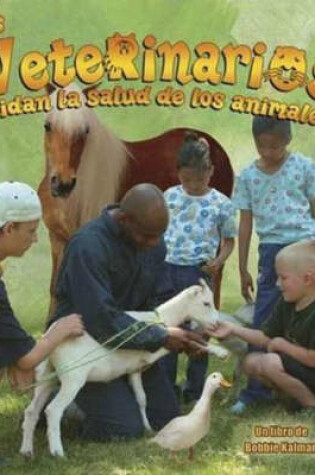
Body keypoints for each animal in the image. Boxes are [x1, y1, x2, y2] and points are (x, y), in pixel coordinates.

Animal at [20, 280, 230, 460]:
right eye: (206, 303)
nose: (216, 324)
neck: (161, 319)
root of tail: (50, 340)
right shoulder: (156, 348)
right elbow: (191, 339)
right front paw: (220, 351)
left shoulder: (135, 370)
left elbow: (141, 399)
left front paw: (147, 427)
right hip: (73, 377)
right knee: (53, 410)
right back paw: (57, 452)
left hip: (46, 375)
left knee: (31, 411)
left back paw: (27, 451)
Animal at [38, 84, 233, 316]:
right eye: (47, 126)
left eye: (85, 131)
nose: (63, 184)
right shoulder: (57, 239)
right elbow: (54, 287)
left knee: (215, 274)